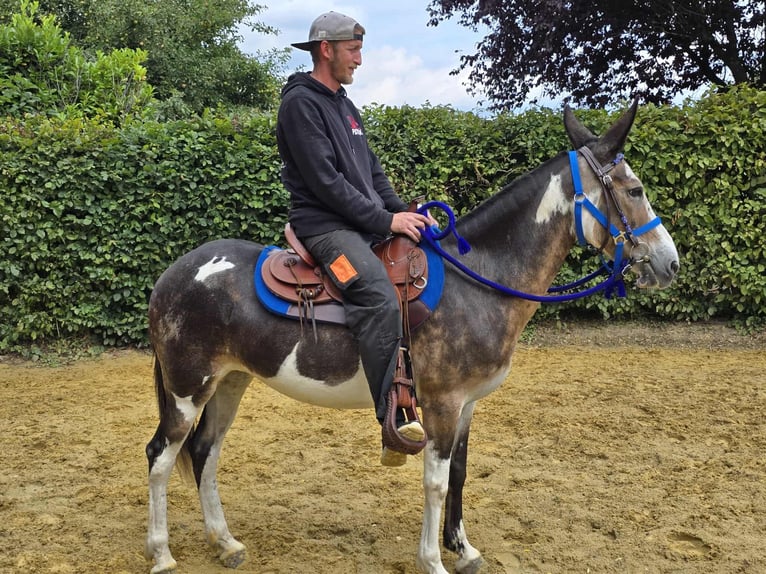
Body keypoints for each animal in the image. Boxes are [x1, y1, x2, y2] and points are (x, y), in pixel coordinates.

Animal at [144, 101, 679, 574]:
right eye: (635, 189)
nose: (670, 263)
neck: (479, 280)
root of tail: (174, 273)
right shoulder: (441, 403)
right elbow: (435, 482)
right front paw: (433, 560)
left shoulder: (467, 404)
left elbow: (459, 472)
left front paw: (463, 550)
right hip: (187, 389)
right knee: (161, 456)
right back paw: (162, 553)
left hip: (230, 382)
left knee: (204, 453)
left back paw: (225, 542)